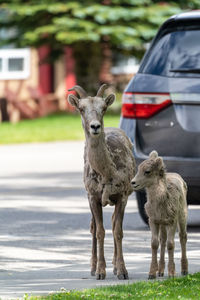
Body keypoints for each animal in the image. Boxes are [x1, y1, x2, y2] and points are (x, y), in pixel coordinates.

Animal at [68, 84, 135, 278]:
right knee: (92, 227)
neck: (107, 174)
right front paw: (99, 272)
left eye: (103, 108)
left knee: (112, 223)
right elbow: (99, 231)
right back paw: (92, 267)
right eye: (81, 109)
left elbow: (118, 231)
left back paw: (114, 266)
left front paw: (122, 271)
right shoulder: (93, 197)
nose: (95, 126)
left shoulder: (122, 196)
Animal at [131, 151, 188, 280]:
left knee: (182, 237)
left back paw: (184, 270)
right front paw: (152, 274)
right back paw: (161, 271)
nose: (133, 182)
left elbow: (171, 244)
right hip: (162, 224)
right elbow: (154, 243)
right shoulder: (153, 221)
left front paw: (172, 274)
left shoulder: (172, 220)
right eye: (138, 168)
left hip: (182, 216)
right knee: (163, 240)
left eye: (147, 171)